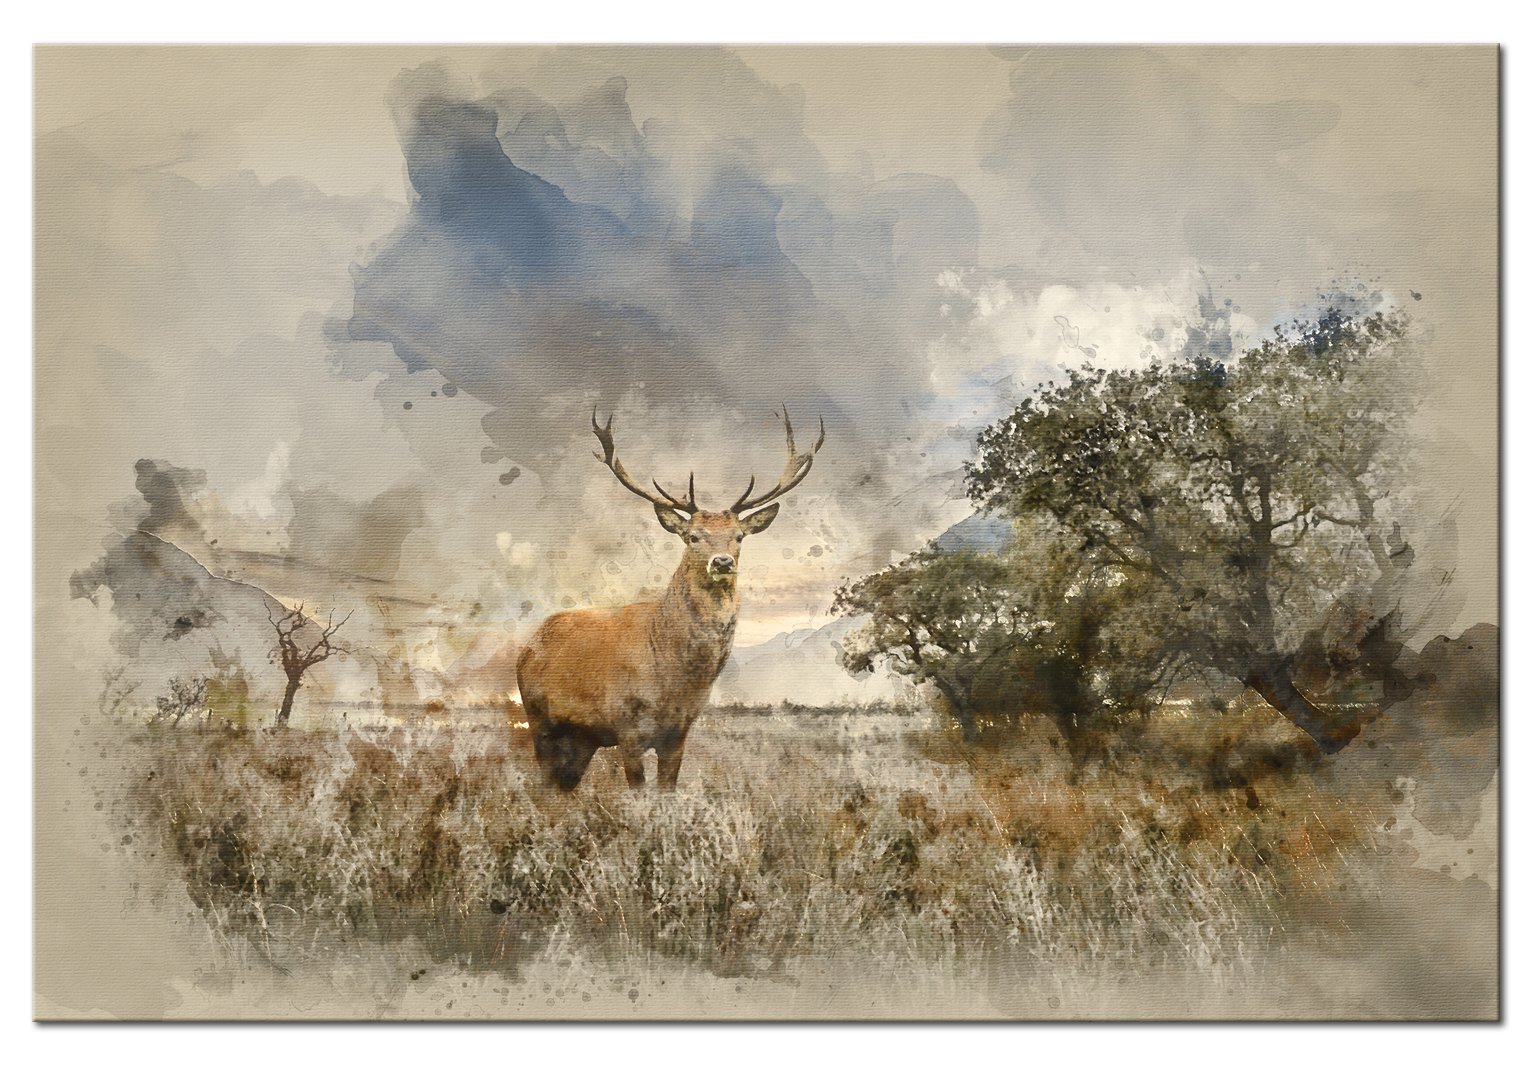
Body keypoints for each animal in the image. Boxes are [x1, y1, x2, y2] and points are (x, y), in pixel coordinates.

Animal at [514, 408, 825, 791]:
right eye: (693, 536)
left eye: (739, 536)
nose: (723, 561)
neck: (674, 679)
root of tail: (528, 646)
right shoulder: (627, 726)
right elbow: (638, 792)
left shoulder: (679, 733)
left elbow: (667, 791)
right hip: (539, 719)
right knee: (544, 785)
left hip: (581, 738)